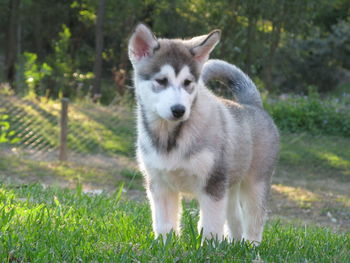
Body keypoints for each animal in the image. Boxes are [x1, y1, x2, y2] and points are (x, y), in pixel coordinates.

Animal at [128, 23, 278, 244]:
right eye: (161, 81)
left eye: (188, 82)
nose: (179, 110)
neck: (171, 137)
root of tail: (252, 105)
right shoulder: (159, 185)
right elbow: (164, 223)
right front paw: (165, 244)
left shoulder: (212, 185)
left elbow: (210, 225)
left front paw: (210, 247)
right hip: (230, 186)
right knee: (235, 218)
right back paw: (235, 244)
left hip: (255, 183)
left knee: (254, 219)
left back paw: (251, 245)